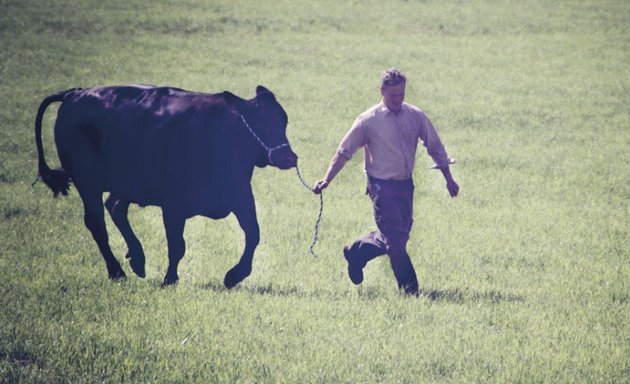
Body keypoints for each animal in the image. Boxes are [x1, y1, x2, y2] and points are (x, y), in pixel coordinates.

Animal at [34, 85, 298, 288]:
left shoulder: (241, 195)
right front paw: (170, 279)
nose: (288, 157)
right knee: (97, 224)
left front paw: (234, 275)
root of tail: (75, 94)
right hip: (87, 184)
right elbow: (177, 245)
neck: (220, 135)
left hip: (126, 184)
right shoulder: (173, 205)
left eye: (283, 121)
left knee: (115, 207)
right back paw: (117, 271)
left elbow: (253, 234)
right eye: (256, 123)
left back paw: (137, 260)